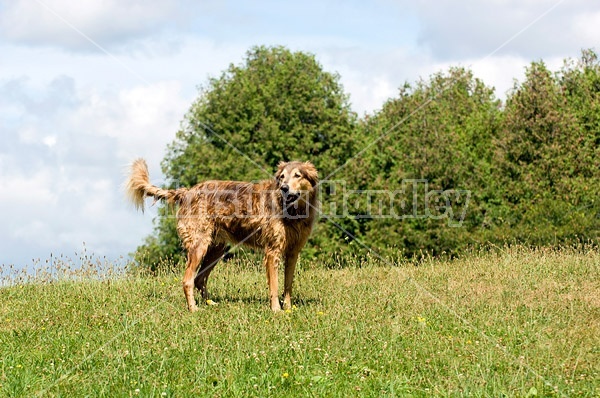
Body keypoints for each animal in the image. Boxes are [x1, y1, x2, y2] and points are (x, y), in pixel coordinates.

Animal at [125, 159, 318, 310]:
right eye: (282, 177)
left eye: (297, 175)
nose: (284, 188)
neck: (294, 211)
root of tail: (187, 192)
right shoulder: (272, 251)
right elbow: (275, 286)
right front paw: (276, 310)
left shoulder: (293, 252)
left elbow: (288, 285)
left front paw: (288, 308)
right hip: (199, 246)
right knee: (187, 280)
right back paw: (193, 309)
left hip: (216, 249)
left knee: (199, 279)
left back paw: (209, 303)